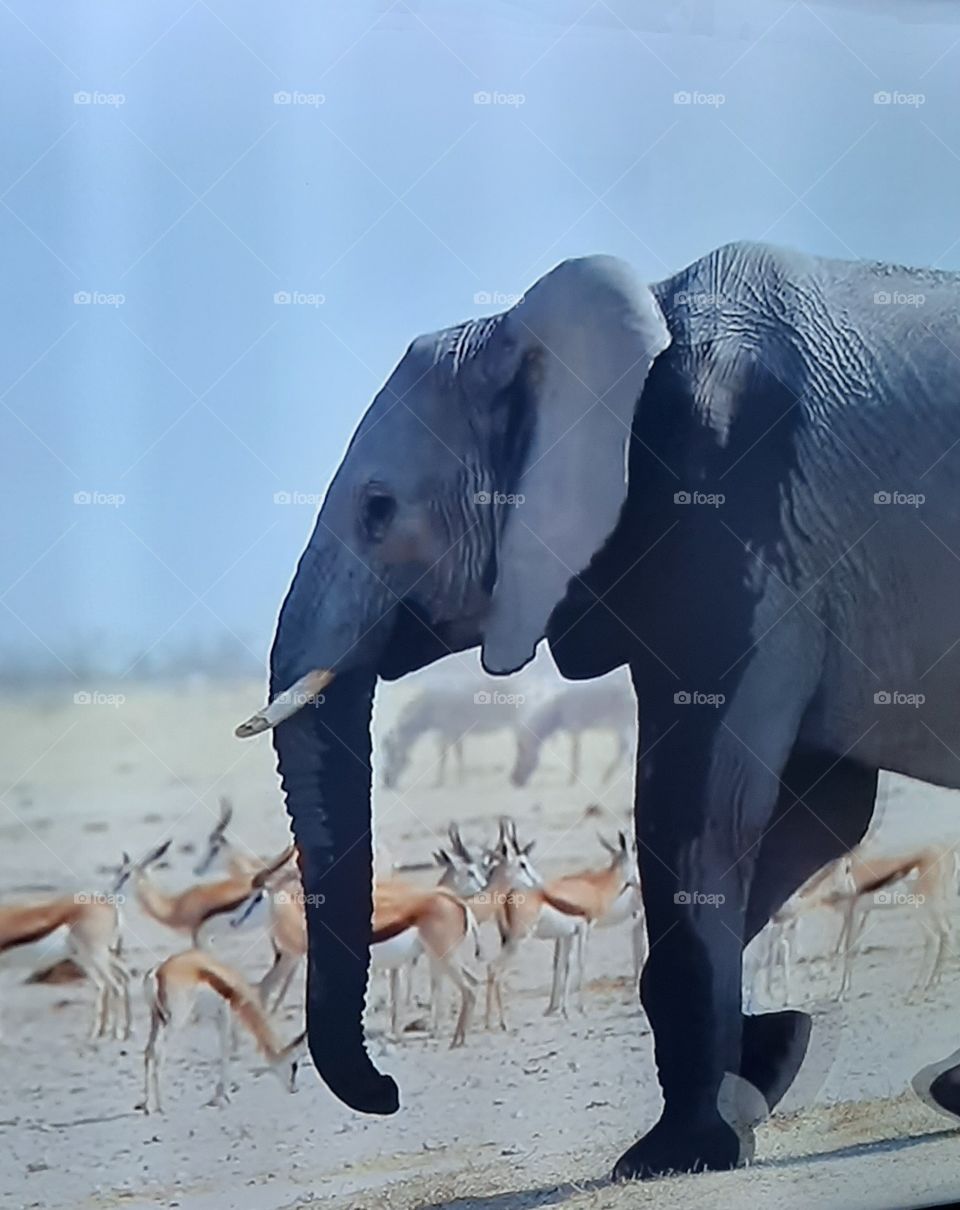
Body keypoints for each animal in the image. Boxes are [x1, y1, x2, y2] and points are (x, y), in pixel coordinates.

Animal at [237, 240, 960, 1179]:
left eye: (378, 510)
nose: (389, 1093)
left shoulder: (733, 509)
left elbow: (701, 810)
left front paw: (673, 1153)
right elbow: (820, 813)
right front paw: (770, 1059)